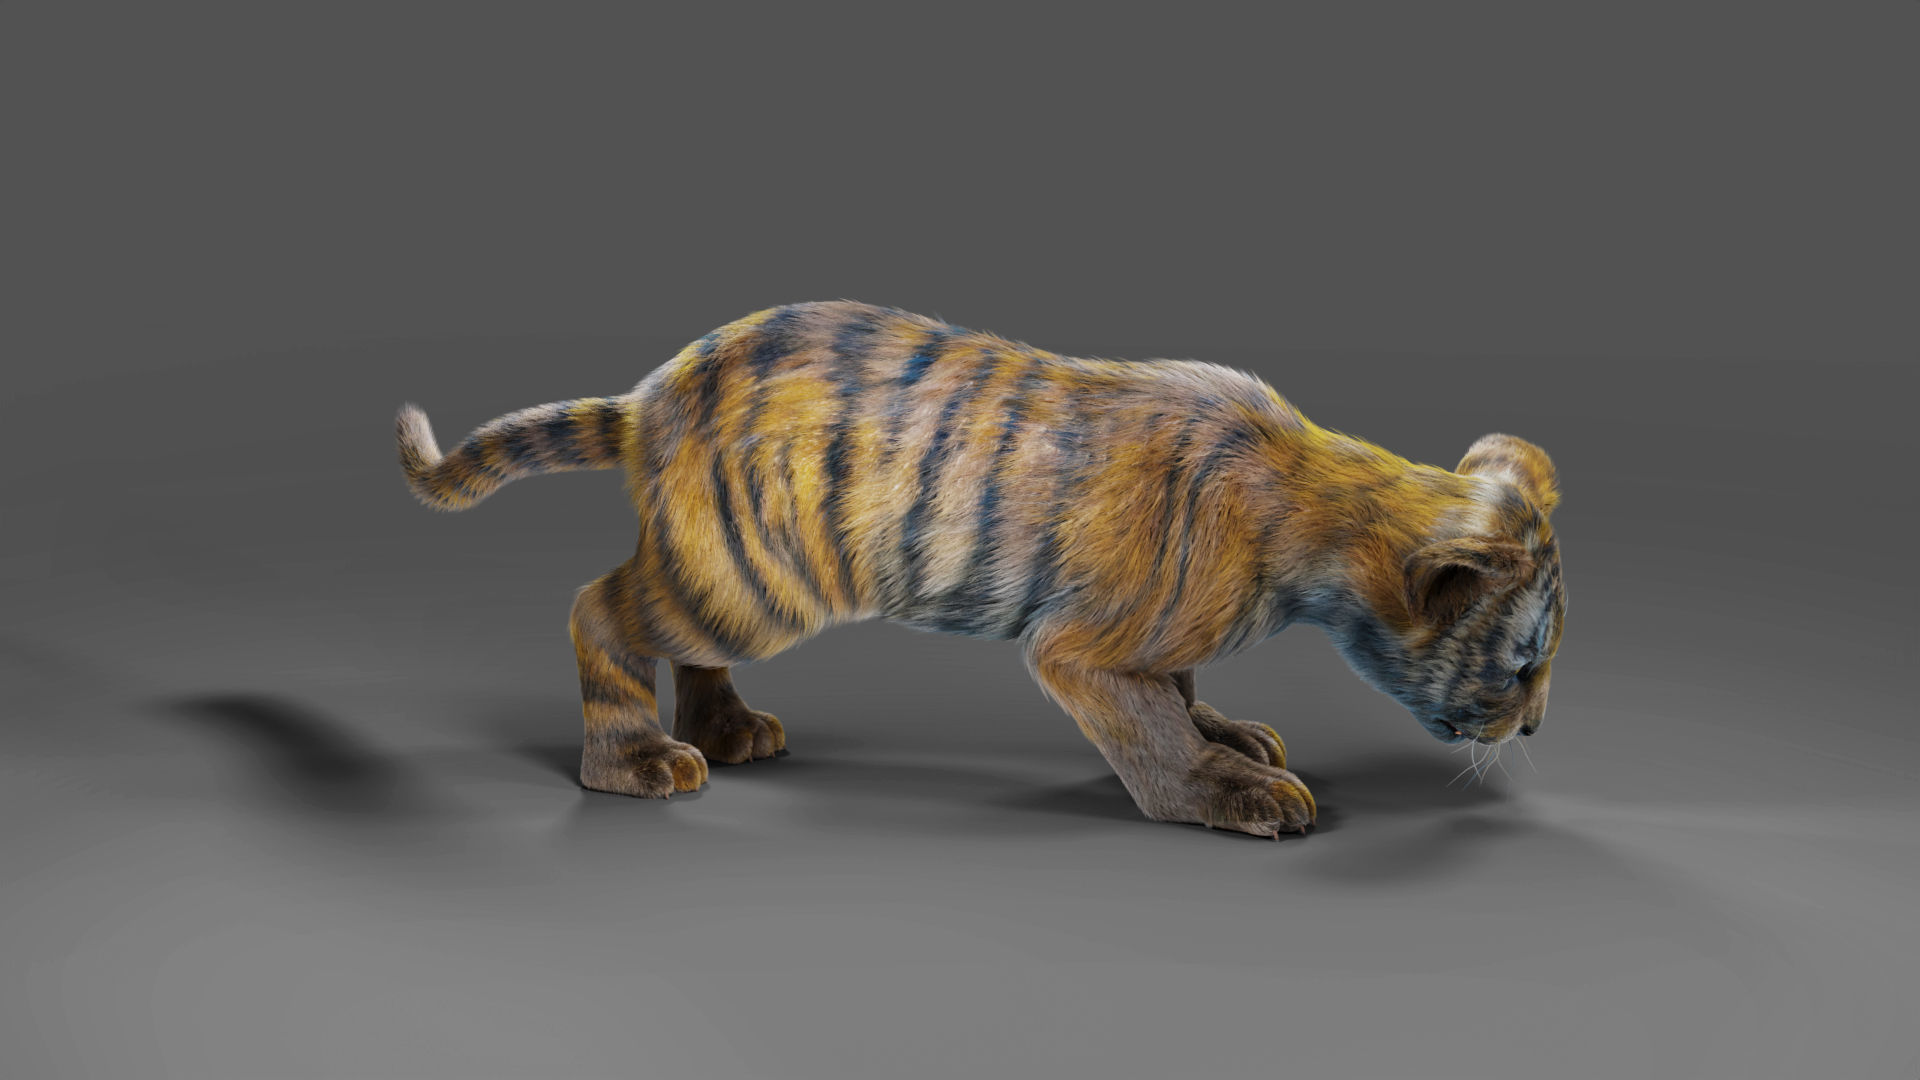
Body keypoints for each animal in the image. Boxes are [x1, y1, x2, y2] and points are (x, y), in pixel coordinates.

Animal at [395, 300, 1566, 838]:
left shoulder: (1155, 639)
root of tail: (653, 395)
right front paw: (1221, 787)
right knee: (597, 609)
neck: (1321, 516)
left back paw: (725, 732)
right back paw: (637, 761)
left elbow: (1179, 690)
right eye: (1521, 668)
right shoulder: (1081, 649)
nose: (1536, 731)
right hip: (745, 583)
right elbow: (1151, 728)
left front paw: (1226, 734)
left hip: (726, 582)